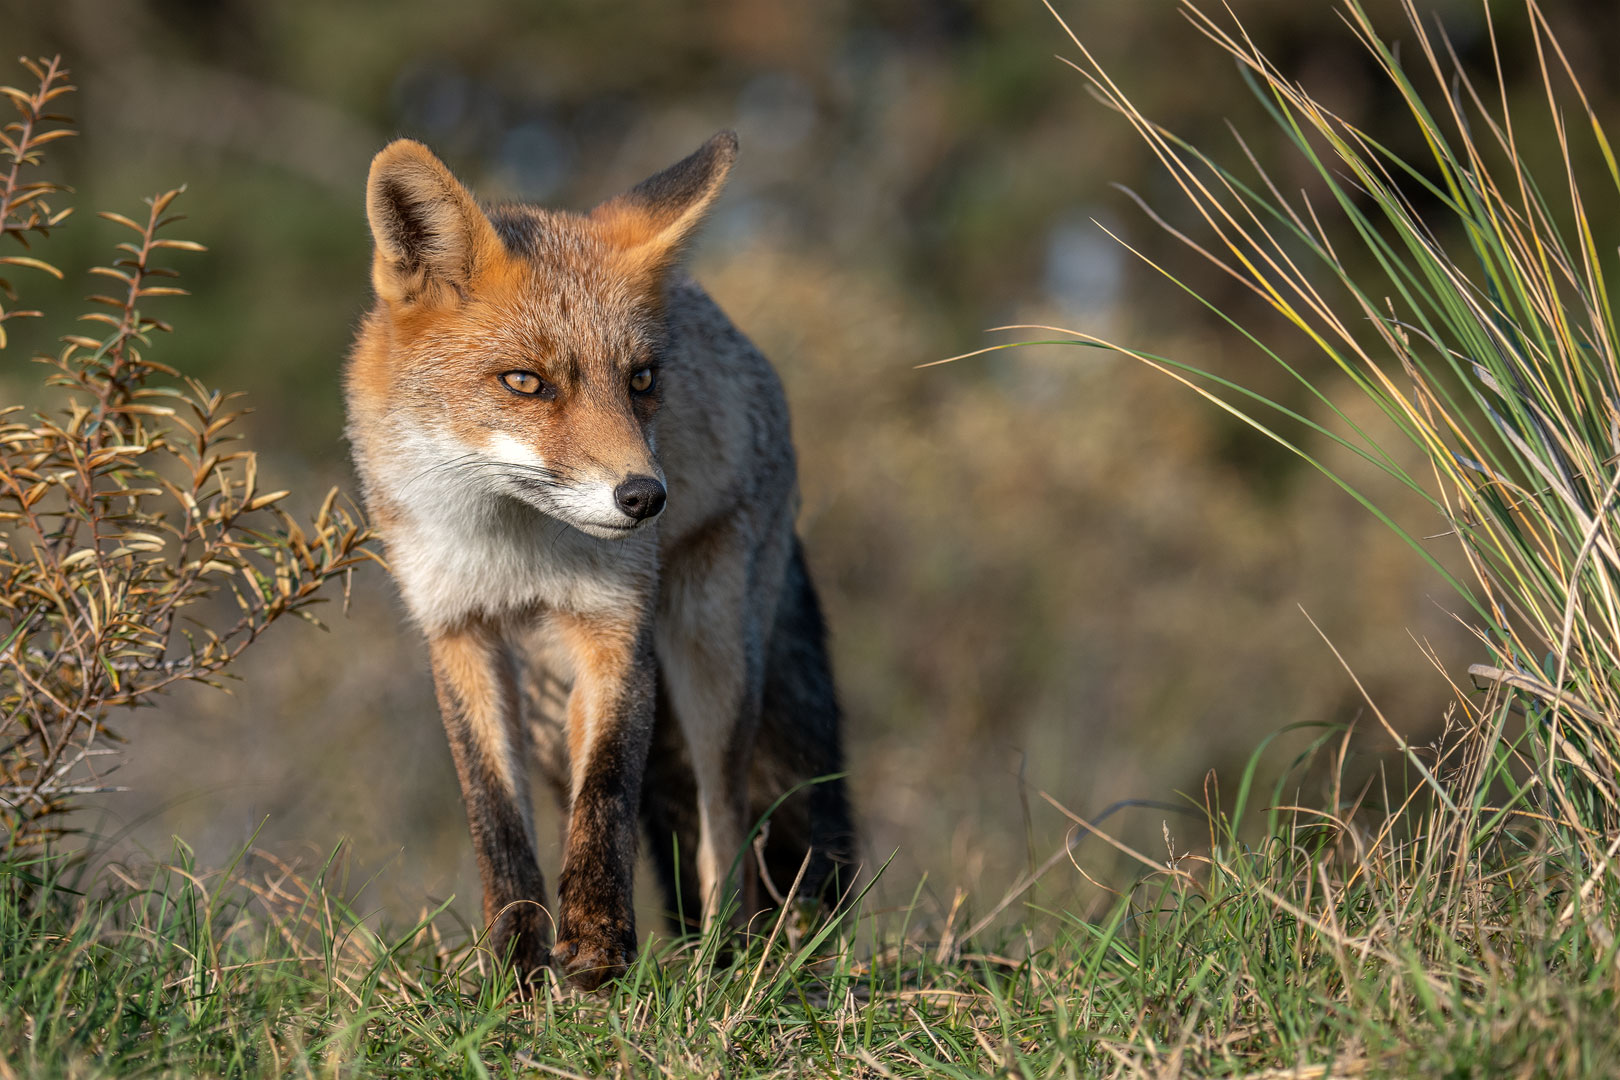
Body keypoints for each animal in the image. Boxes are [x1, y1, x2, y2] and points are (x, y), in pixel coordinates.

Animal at [343, 131, 861, 990]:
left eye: (641, 380)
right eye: (526, 381)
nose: (646, 497)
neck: (512, 554)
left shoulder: (616, 628)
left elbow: (611, 791)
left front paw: (595, 943)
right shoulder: (458, 634)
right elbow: (496, 817)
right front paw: (516, 966)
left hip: (711, 657)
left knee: (726, 825)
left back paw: (721, 965)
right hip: (551, 707)